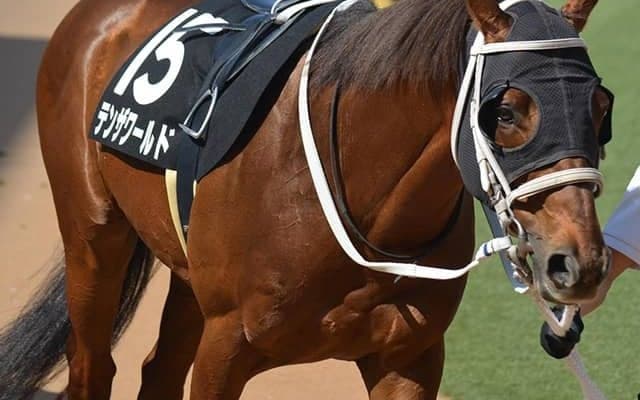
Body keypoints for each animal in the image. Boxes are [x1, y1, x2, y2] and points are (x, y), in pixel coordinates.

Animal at [0, 0, 611, 399]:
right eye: (504, 111)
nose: (577, 263)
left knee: (159, 367)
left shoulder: (408, 359)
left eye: (601, 107)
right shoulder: (225, 350)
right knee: (92, 363)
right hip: (94, 236)